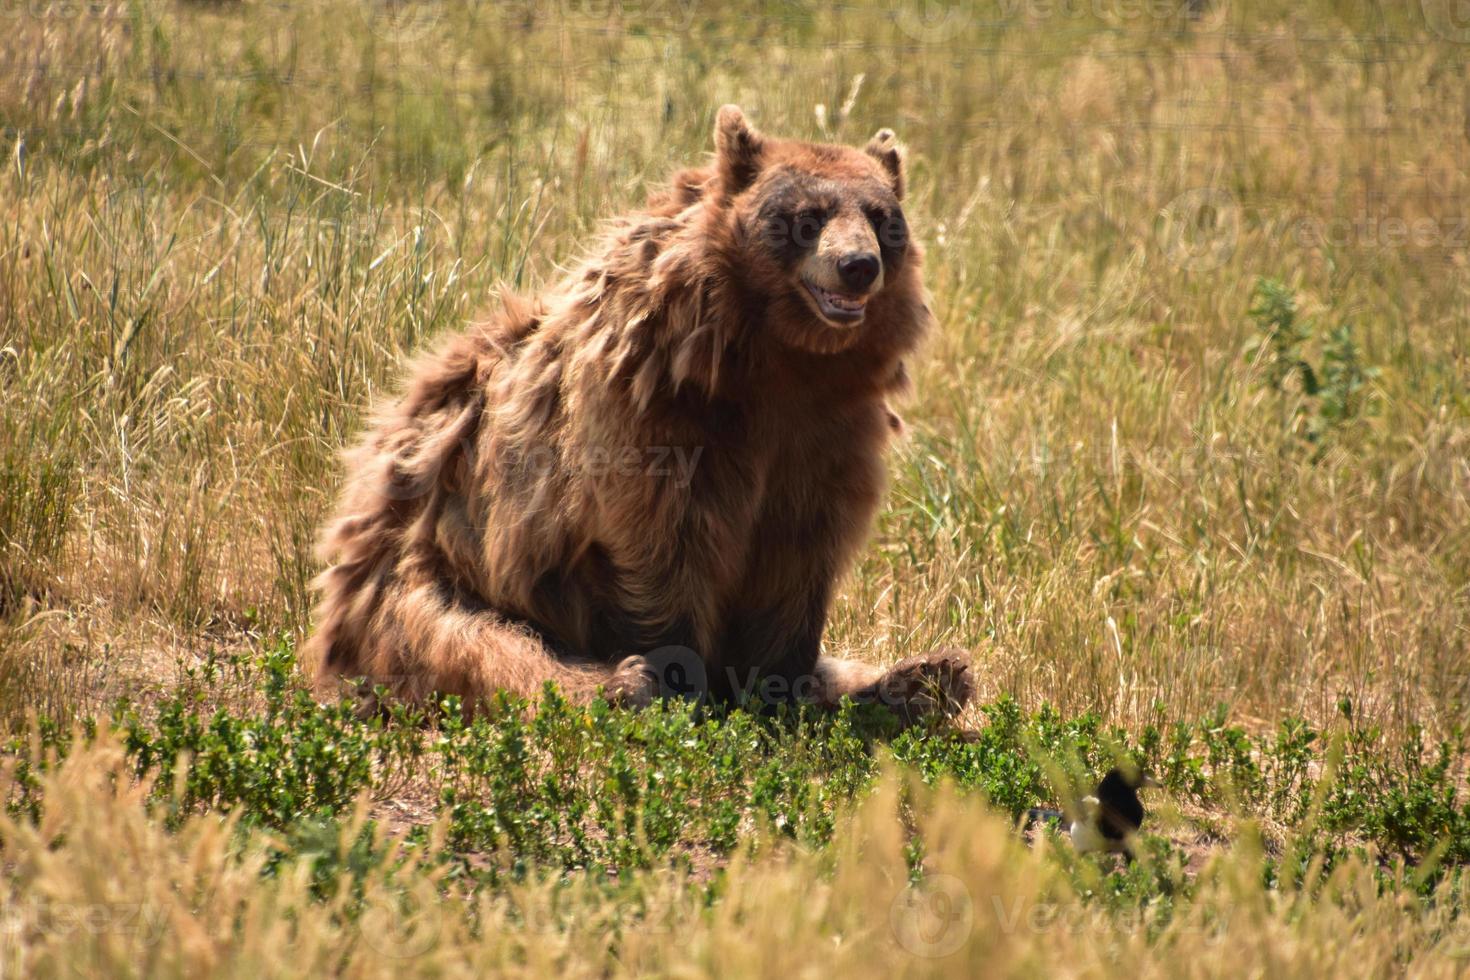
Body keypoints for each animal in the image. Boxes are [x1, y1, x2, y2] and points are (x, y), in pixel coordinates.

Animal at [304, 105, 970, 719]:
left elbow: (799, 551)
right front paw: (674, 679)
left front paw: (785, 684)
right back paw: (619, 683)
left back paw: (928, 677)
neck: (770, 357)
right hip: (422, 578)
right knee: (484, 648)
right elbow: (661, 544)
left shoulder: (825, 433)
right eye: (807, 218)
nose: (858, 266)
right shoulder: (655, 410)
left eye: (882, 219)